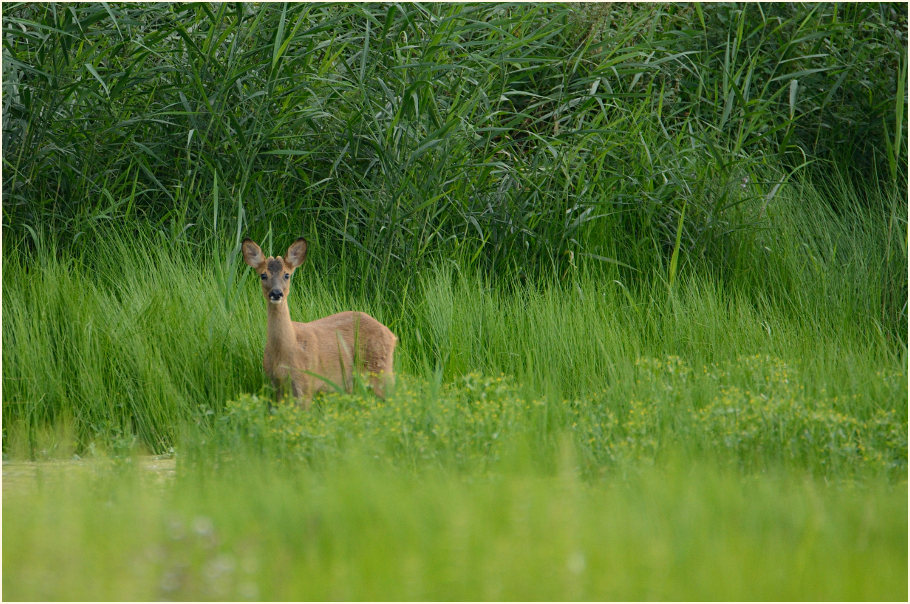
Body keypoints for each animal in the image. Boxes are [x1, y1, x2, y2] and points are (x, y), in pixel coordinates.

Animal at [241, 237, 397, 408]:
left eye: (287, 275)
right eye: (263, 275)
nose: (276, 293)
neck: (286, 352)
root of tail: (391, 335)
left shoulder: (306, 384)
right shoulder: (275, 385)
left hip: (380, 368)